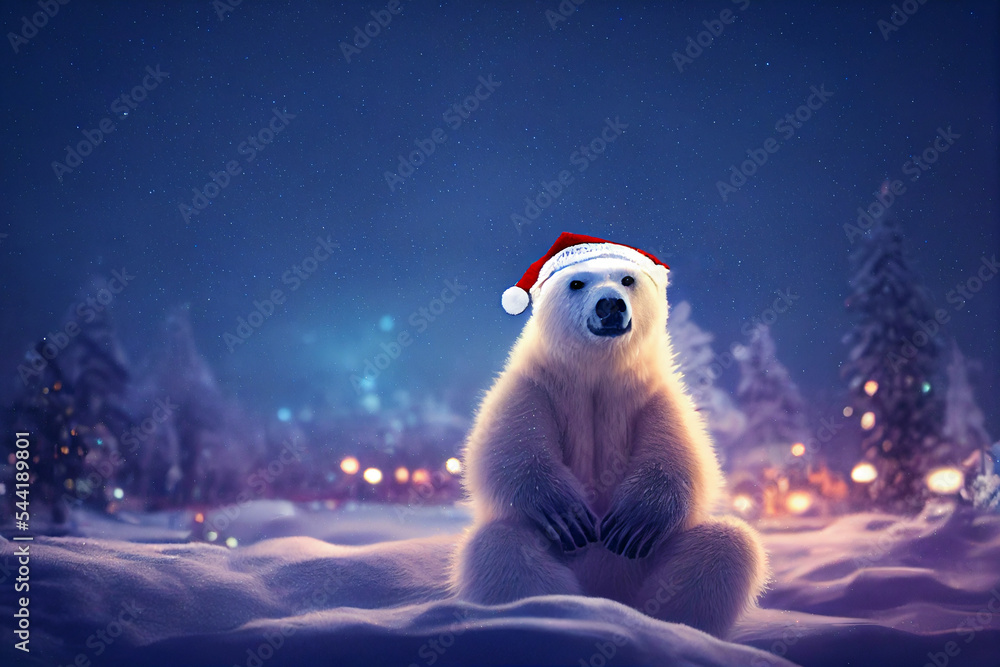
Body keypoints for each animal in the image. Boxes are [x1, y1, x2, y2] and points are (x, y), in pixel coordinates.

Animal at [452, 234, 768, 638]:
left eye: (627, 279)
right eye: (576, 282)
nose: (609, 305)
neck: (597, 373)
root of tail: (609, 592)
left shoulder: (654, 394)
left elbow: (680, 455)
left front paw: (633, 523)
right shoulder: (533, 386)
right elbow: (509, 446)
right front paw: (566, 514)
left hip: (646, 564)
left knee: (728, 544)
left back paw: (669, 623)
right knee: (500, 546)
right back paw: (555, 611)